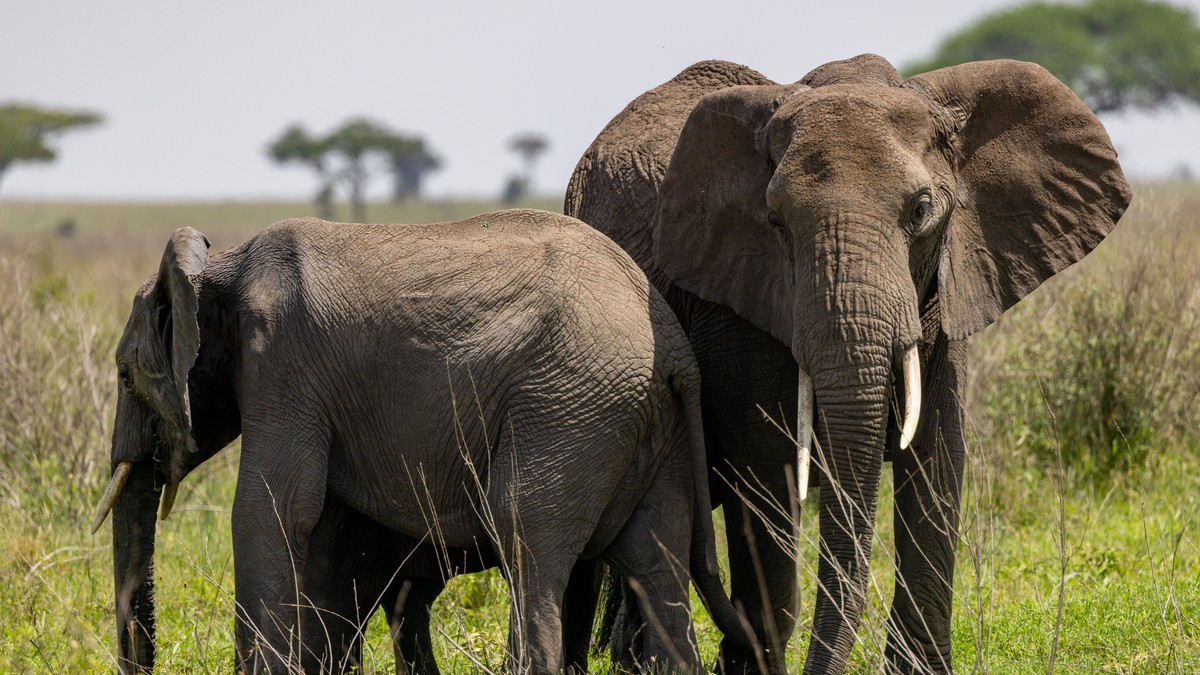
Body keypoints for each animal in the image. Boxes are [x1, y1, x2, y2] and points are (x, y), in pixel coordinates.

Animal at [90, 210, 756, 673]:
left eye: (123, 375)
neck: (219, 268)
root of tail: (677, 350)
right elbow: (323, 532)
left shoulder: (281, 367)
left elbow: (270, 508)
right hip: (649, 424)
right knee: (655, 561)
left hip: (570, 405)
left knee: (524, 536)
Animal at [565, 55, 1131, 673]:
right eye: (775, 223)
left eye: (922, 211)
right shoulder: (731, 303)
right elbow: (765, 469)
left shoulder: (947, 284)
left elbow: (937, 455)